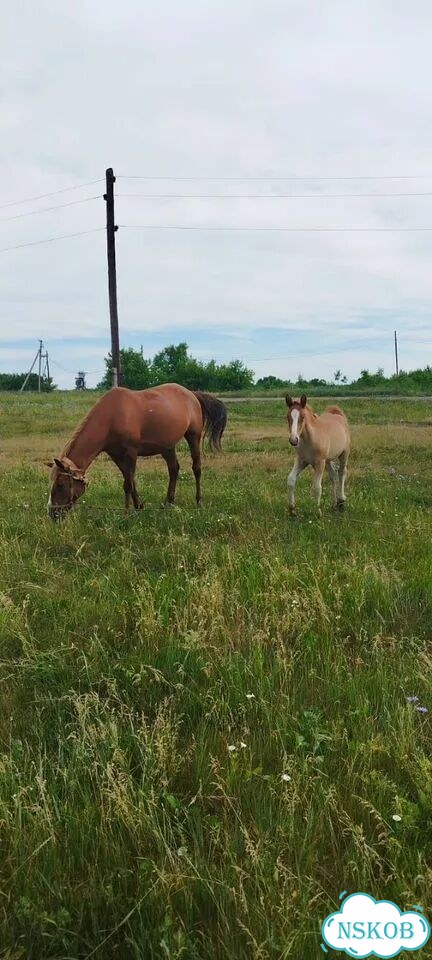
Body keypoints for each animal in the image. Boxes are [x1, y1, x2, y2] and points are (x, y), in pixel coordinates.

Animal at [46, 383, 227, 520]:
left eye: (61, 485)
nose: (52, 514)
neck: (111, 417)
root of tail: (192, 394)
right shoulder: (117, 455)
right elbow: (131, 481)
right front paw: (139, 506)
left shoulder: (131, 453)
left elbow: (127, 484)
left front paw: (127, 513)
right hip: (167, 446)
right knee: (174, 469)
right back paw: (168, 503)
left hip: (193, 436)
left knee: (196, 468)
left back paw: (198, 502)